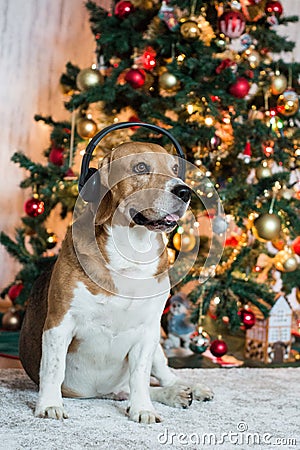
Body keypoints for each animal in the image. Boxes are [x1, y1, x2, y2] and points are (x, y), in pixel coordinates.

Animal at [19, 142, 213, 424]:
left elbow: (140, 376)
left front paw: (143, 409)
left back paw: (184, 389)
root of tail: (103, 392)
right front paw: (49, 405)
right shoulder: (59, 324)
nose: (184, 191)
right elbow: (53, 370)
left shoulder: (148, 332)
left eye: (176, 168)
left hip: (157, 347)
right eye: (140, 167)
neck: (131, 255)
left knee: (159, 377)